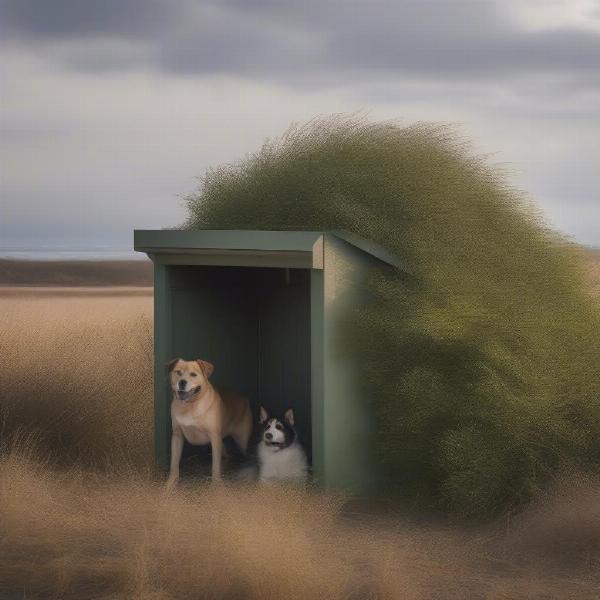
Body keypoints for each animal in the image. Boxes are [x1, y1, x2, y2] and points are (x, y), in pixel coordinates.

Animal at [165, 358, 252, 486]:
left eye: (193, 374)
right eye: (178, 372)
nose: (182, 382)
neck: (190, 406)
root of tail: (244, 398)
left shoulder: (214, 437)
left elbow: (215, 465)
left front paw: (216, 484)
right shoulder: (177, 436)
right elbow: (174, 463)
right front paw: (171, 482)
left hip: (242, 441)